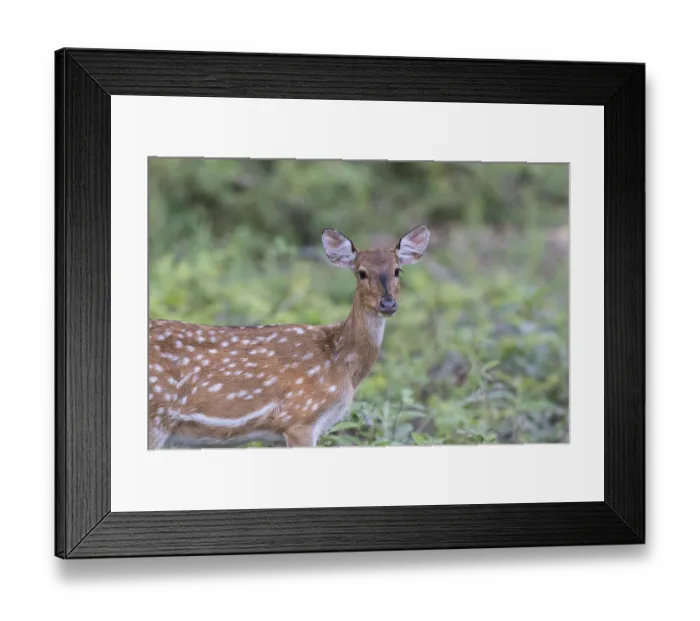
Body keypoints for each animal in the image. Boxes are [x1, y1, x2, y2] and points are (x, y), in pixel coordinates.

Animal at [147, 224, 431, 449]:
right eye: (361, 272)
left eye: (397, 270)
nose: (388, 304)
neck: (339, 361)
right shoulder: (300, 417)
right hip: (155, 416)